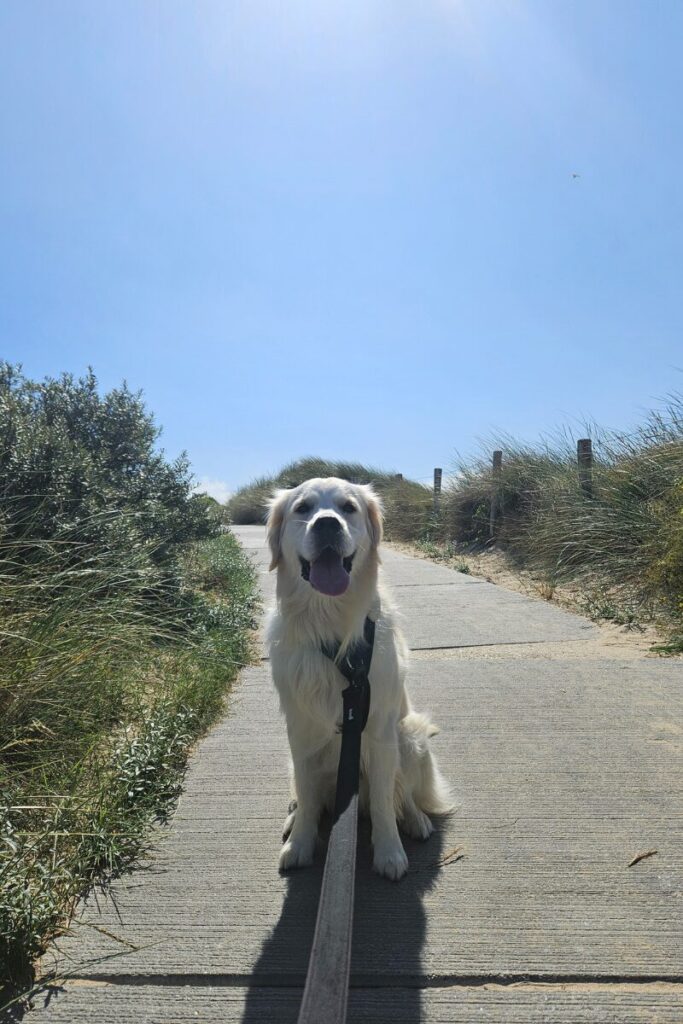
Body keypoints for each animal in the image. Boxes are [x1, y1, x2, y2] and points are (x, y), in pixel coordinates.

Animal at [264, 475, 450, 876]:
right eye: (303, 508)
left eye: (348, 507)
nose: (327, 524)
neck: (332, 623)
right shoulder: (301, 732)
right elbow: (307, 794)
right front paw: (300, 843)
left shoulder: (378, 731)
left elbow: (383, 800)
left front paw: (389, 853)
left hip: (409, 736)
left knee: (401, 793)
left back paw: (415, 820)